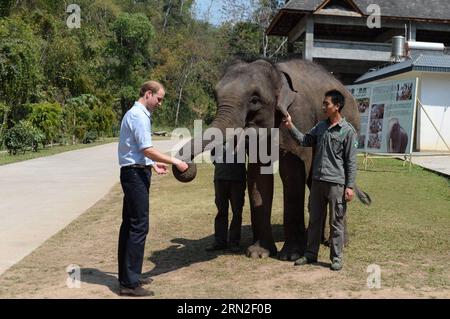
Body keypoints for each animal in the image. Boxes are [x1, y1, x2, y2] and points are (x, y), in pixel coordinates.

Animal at [172, 58, 370, 262]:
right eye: (216, 96)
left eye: (254, 100)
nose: (186, 166)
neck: (277, 73)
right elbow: (258, 176)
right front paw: (258, 253)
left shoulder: (299, 116)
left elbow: (292, 173)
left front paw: (290, 255)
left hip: (352, 123)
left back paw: (336, 243)